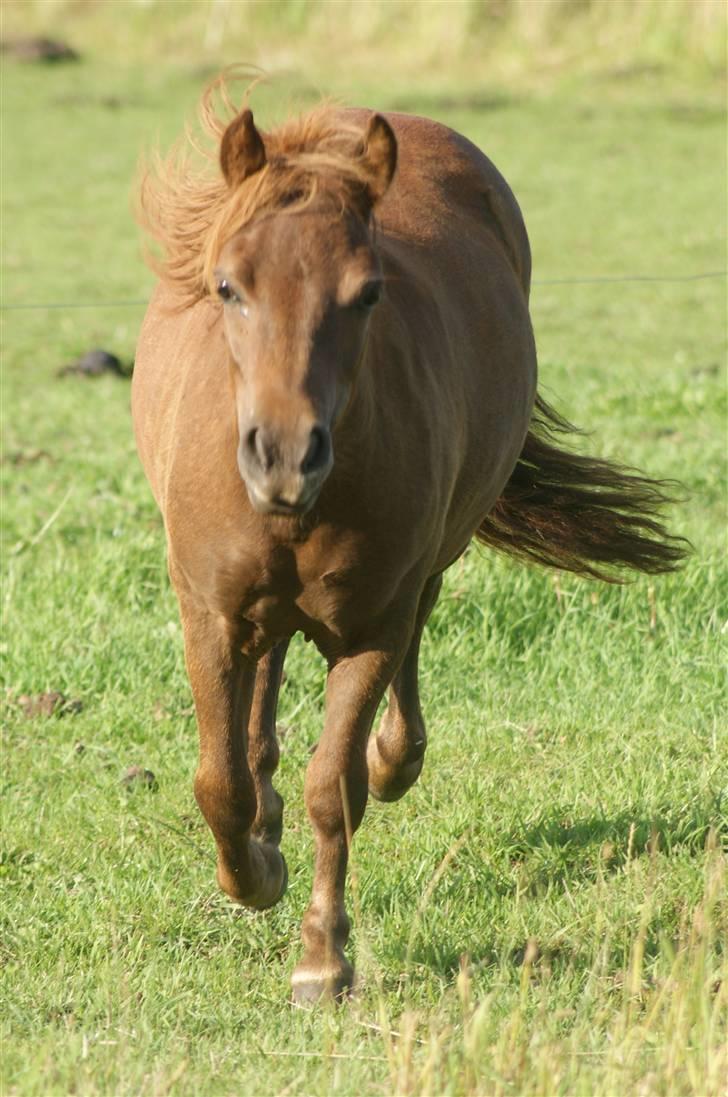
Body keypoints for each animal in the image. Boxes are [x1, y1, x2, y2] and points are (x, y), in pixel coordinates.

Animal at [133, 81, 684, 1000]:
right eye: (228, 286)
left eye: (367, 293)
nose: (285, 455)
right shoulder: (207, 615)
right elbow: (219, 782)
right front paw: (255, 873)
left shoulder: (372, 625)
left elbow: (334, 784)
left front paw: (322, 955)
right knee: (266, 679)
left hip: (428, 563)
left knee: (404, 649)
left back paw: (394, 759)